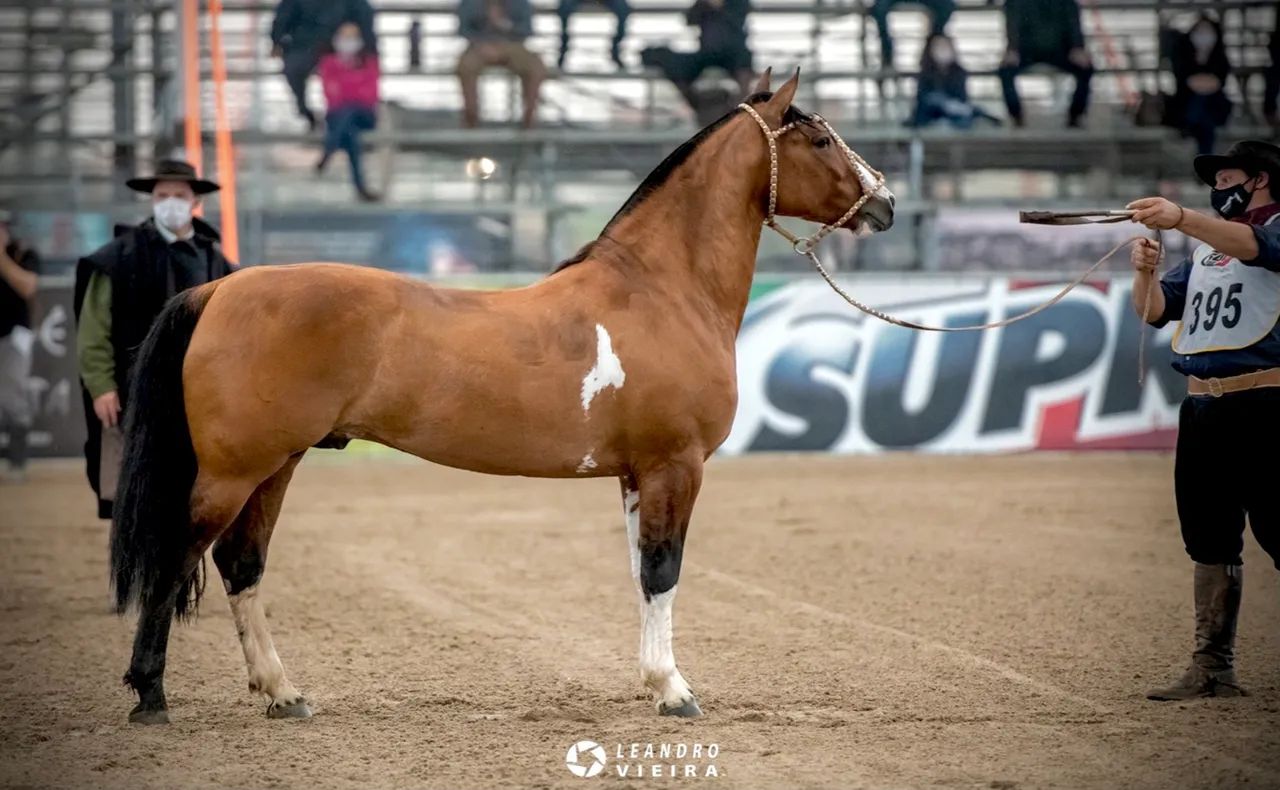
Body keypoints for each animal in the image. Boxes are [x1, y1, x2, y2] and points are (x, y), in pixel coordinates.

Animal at [108, 67, 896, 725]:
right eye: (821, 139)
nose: (885, 203)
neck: (660, 292)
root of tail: (221, 288)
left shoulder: (636, 475)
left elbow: (641, 573)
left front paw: (653, 681)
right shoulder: (677, 465)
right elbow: (664, 570)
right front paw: (675, 692)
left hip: (278, 464)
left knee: (240, 565)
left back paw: (282, 693)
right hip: (234, 470)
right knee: (178, 553)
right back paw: (151, 695)